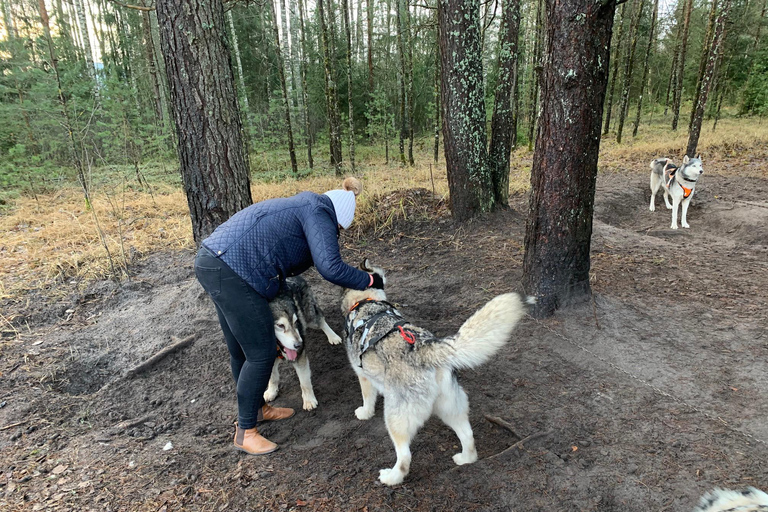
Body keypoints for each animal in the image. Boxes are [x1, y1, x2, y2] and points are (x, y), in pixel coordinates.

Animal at [266, 276, 340, 412]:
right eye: (280, 325)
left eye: (296, 322)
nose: (299, 344)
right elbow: (272, 377)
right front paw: (271, 391)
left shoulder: (300, 357)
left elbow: (304, 383)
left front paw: (309, 400)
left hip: (310, 316)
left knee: (320, 319)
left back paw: (333, 336)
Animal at [340, 260, 532, 484]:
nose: (386, 274)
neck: (365, 301)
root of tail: (427, 349)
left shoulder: (363, 375)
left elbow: (367, 398)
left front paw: (364, 413)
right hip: (451, 408)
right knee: (468, 436)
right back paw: (466, 459)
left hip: (396, 418)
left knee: (404, 457)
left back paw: (391, 477)